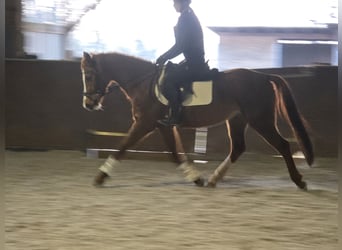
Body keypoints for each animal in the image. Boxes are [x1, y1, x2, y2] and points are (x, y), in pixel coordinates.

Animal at [81, 52, 314, 189]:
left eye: (89, 75)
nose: (88, 104)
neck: (143, 83)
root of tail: (263, 76)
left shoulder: (144, 123)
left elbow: (122, 147)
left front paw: (100, 176)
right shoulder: (162, 126)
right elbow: (175, 154)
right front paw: (195, 177)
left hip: (261, 120)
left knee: (282, 145)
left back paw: (299, 180)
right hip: (237, 120)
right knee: (238, 147)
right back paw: (214, 179)